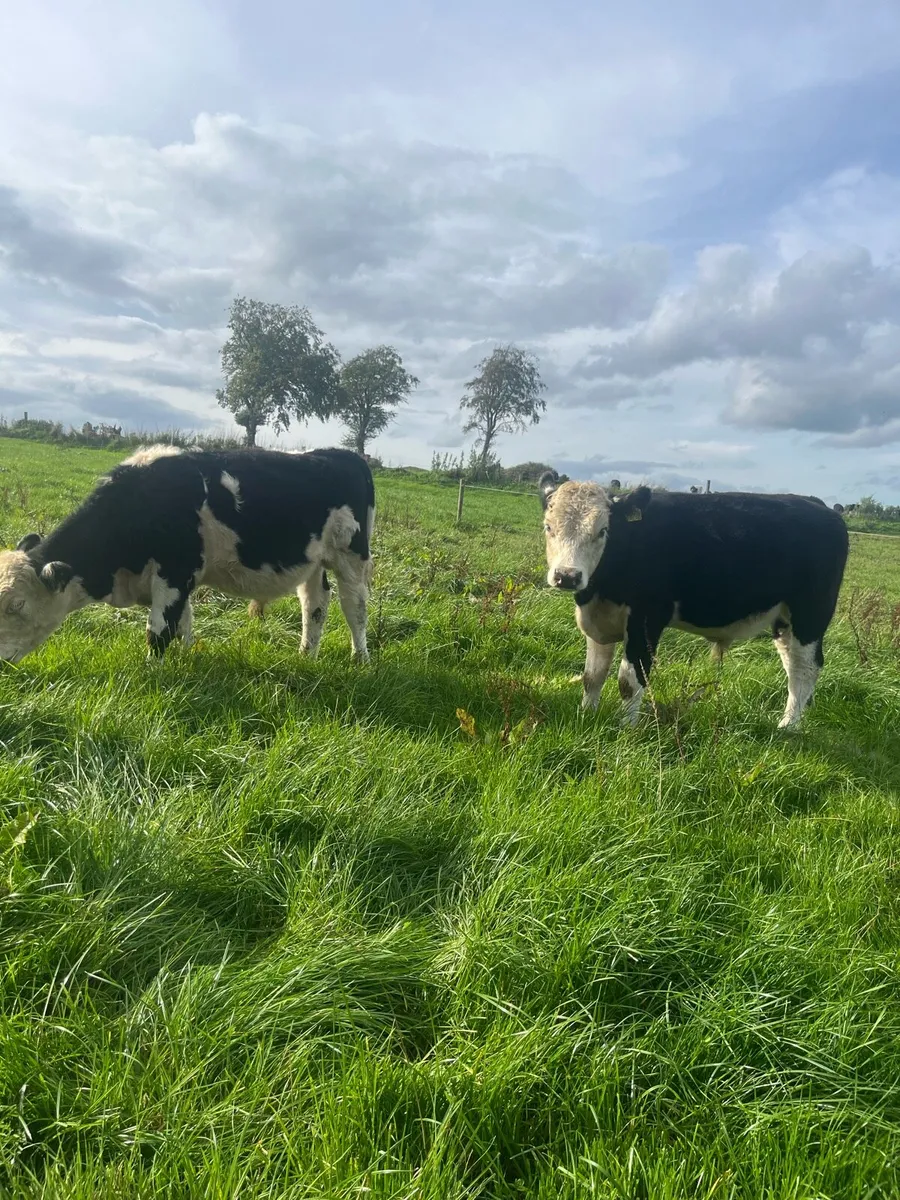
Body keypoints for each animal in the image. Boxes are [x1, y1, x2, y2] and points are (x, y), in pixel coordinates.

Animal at [0, 445, 375, 665]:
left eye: (17, 605)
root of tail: (343, 454)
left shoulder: (176, 571)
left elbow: (159, 629)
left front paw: (154, 674)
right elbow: (183, 624)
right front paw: (186, 660)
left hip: (351, 556)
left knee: (354, 606)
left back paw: (361, 659)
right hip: (313, 562)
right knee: (315, 604)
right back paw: (306, 656)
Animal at [538, 471, 849, 728]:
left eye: (602, 530)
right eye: (548, 527)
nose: (567, 576)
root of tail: (817, 505)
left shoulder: (647, 619)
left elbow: (629, 681)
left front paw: (625, 729)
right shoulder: (599, 620)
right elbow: (592, 677)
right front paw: (586, 716)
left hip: (812, 614)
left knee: (805, 667)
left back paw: (788, 726)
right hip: (784, 619)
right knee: (791, 662)